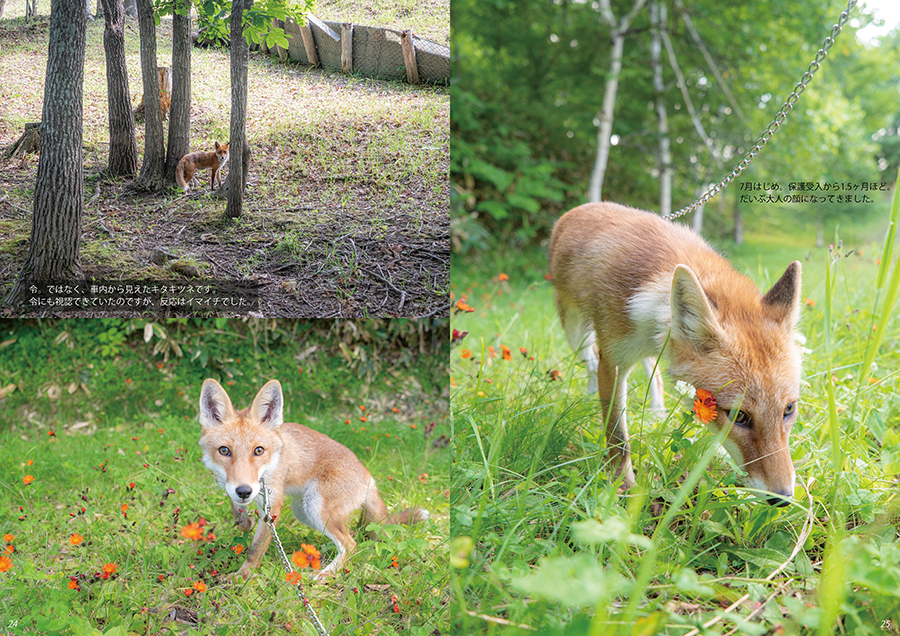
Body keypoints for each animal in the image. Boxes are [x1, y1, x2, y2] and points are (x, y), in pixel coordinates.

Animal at [198, 380, 428, 580]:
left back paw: (326, 574)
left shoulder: (273, 504)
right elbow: (239, 514)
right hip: (305, 512)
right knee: (351, 535)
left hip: (316, 506)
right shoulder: (229, 486)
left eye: (259, 450)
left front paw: (242, 577)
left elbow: (255, 549)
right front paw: (245, 521)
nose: (244, 491)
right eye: (224, 451)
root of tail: (368, 475)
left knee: (350, 544)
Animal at [548, 201, 800, 504]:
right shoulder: (613, 361)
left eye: (789, 409)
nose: (783, 498)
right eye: (738, 416)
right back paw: (589, 396)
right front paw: (624, 489)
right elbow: (619, 439)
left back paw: (657, 413)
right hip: (577, 335)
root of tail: (586, 206)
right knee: (590, 361)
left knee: (652, 373)